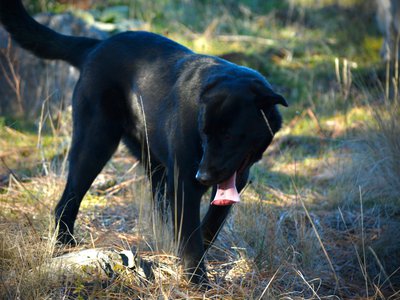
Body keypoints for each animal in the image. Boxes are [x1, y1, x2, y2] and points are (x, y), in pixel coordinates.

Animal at [0, 0, 288, 284]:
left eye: (229, 135)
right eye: (205, 133)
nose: (203, 176)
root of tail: (96, 46)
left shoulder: (230, 179)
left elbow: (208, 226)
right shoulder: (184, 182)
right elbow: (190, 236)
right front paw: (196, 280)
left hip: (153, 164)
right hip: (95, 144)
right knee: (67, 200)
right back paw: (64, 245)